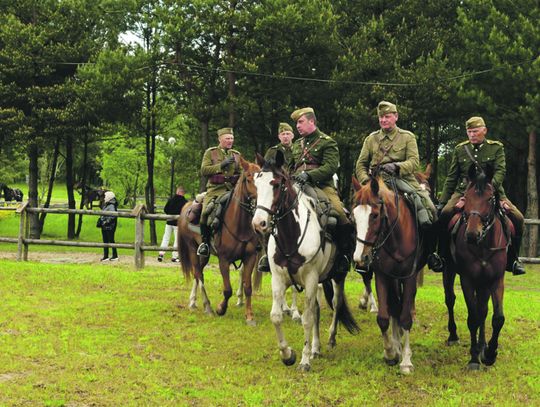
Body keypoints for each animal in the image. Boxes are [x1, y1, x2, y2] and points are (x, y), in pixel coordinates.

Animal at [177, 158, 262, 326]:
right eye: (249, 178)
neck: (240, 224)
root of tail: (187, 207)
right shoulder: (224, 260)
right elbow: (227, 289)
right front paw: (221, 308)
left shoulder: (250, 257)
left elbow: (248, 287)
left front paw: (249, 316)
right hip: (192, 249)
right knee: (198, 274)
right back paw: (208, 307)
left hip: (204, 254)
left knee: (198, 273)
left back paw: (193, 302)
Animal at [252, 152, 358, 372]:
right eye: (256, 183)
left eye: (276, 184)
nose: (259, 223)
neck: (291, 235)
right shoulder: (278, 278)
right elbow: (276, 316)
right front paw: (288, 355)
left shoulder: (310, 279)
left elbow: (307, 319)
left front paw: (304, 360)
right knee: (317, 308)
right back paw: (316, 348)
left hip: (337, 276)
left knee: (336, 303)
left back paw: (330, 339)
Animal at [350, 171, 430, 374]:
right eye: (354, 216)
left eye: (374, 215)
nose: (360, 258)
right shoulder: (383, 275)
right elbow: (384, 317)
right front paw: (390, 352)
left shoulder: (409, 277)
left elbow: (405, 317)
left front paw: (406, 361)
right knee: (394, 306)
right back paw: (396, 343)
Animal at [440, 164, 508, 372]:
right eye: (466, 197)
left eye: (490, 198)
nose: (471, 234)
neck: (483, 245)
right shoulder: (468, 280)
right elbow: (473, 318)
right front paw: (474, 359)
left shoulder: (496, 280)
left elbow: (496, 317)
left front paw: (489, 353)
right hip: (449, 271)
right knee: (450, 300)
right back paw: (454, 336)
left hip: (484, 283)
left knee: (483, 310)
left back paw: (482, 345)